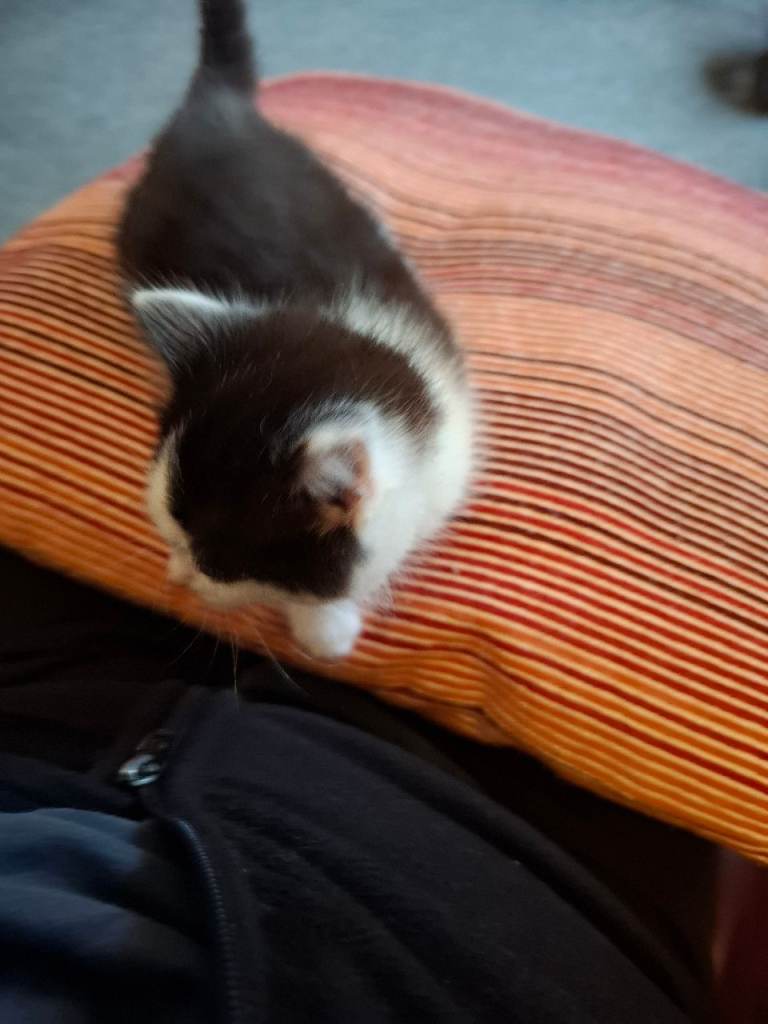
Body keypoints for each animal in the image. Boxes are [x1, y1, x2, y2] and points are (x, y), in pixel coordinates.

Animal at [117, 0, 473, 660]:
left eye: (217, 557)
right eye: (171, 531)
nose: (184, 574)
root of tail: (218, 105)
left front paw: (322, 625)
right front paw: (326, 624)